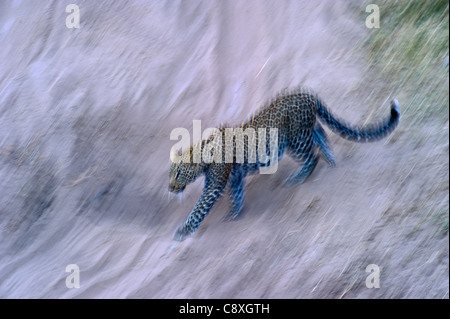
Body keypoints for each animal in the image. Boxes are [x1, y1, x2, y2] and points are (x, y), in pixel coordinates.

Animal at [170, 86, 400, 241]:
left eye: (179, 174)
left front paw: (182, 231)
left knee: (313, 155)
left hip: (294, 140)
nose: (170, 188)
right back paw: (332, 161)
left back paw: (299, 177)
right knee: (321, 136)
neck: (203, 153)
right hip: (305, 130)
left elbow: (198, 209)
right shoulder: (235, 177)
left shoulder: (214, 185)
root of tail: (308, 95)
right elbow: (236, 195)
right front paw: (234, 214)